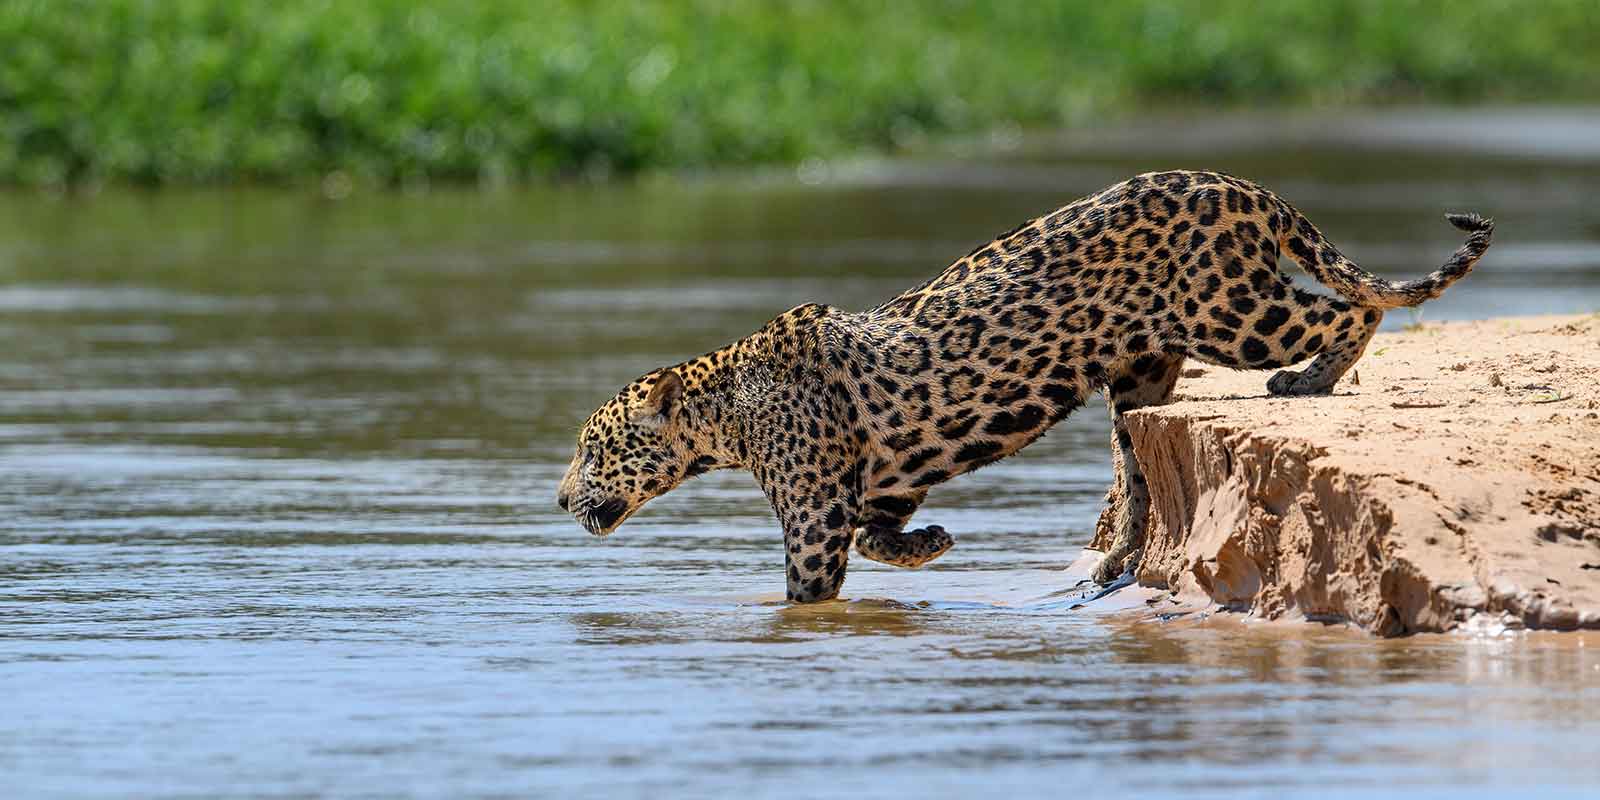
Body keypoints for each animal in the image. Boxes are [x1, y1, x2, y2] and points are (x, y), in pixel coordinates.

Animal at [557, 170, 1493, 602]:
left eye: (592, 449)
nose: (560, 499)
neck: (724, 412)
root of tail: (1238, 185)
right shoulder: (883, 480)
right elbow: (881, 533)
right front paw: (931, 545)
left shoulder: (815, 515)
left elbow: (812, 581)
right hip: (1139, 376)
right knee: (1138, 473)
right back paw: (1113, 561)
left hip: (1235, 312)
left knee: (1345, 311)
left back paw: (1309, 380)